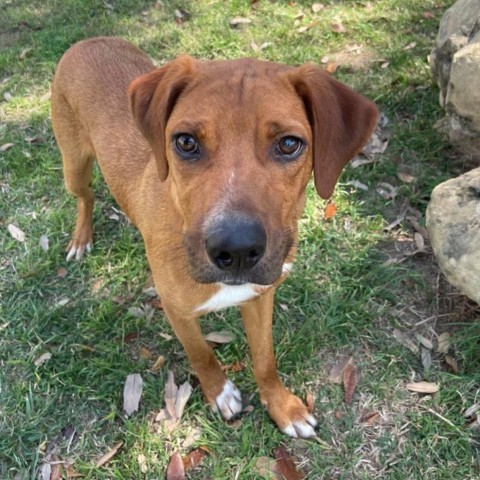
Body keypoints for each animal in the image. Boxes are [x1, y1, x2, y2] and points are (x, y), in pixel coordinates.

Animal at [50, 37, 376, 438]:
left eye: (289, 144)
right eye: (186, 142)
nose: (236, 250)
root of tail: (91, 40)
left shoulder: (260, 296)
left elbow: (265, 359)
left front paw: (282, 406)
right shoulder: (177, 311)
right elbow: (201, 355)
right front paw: (220, 393)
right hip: (73, 165)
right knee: (86, 196)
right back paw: (81, 238)